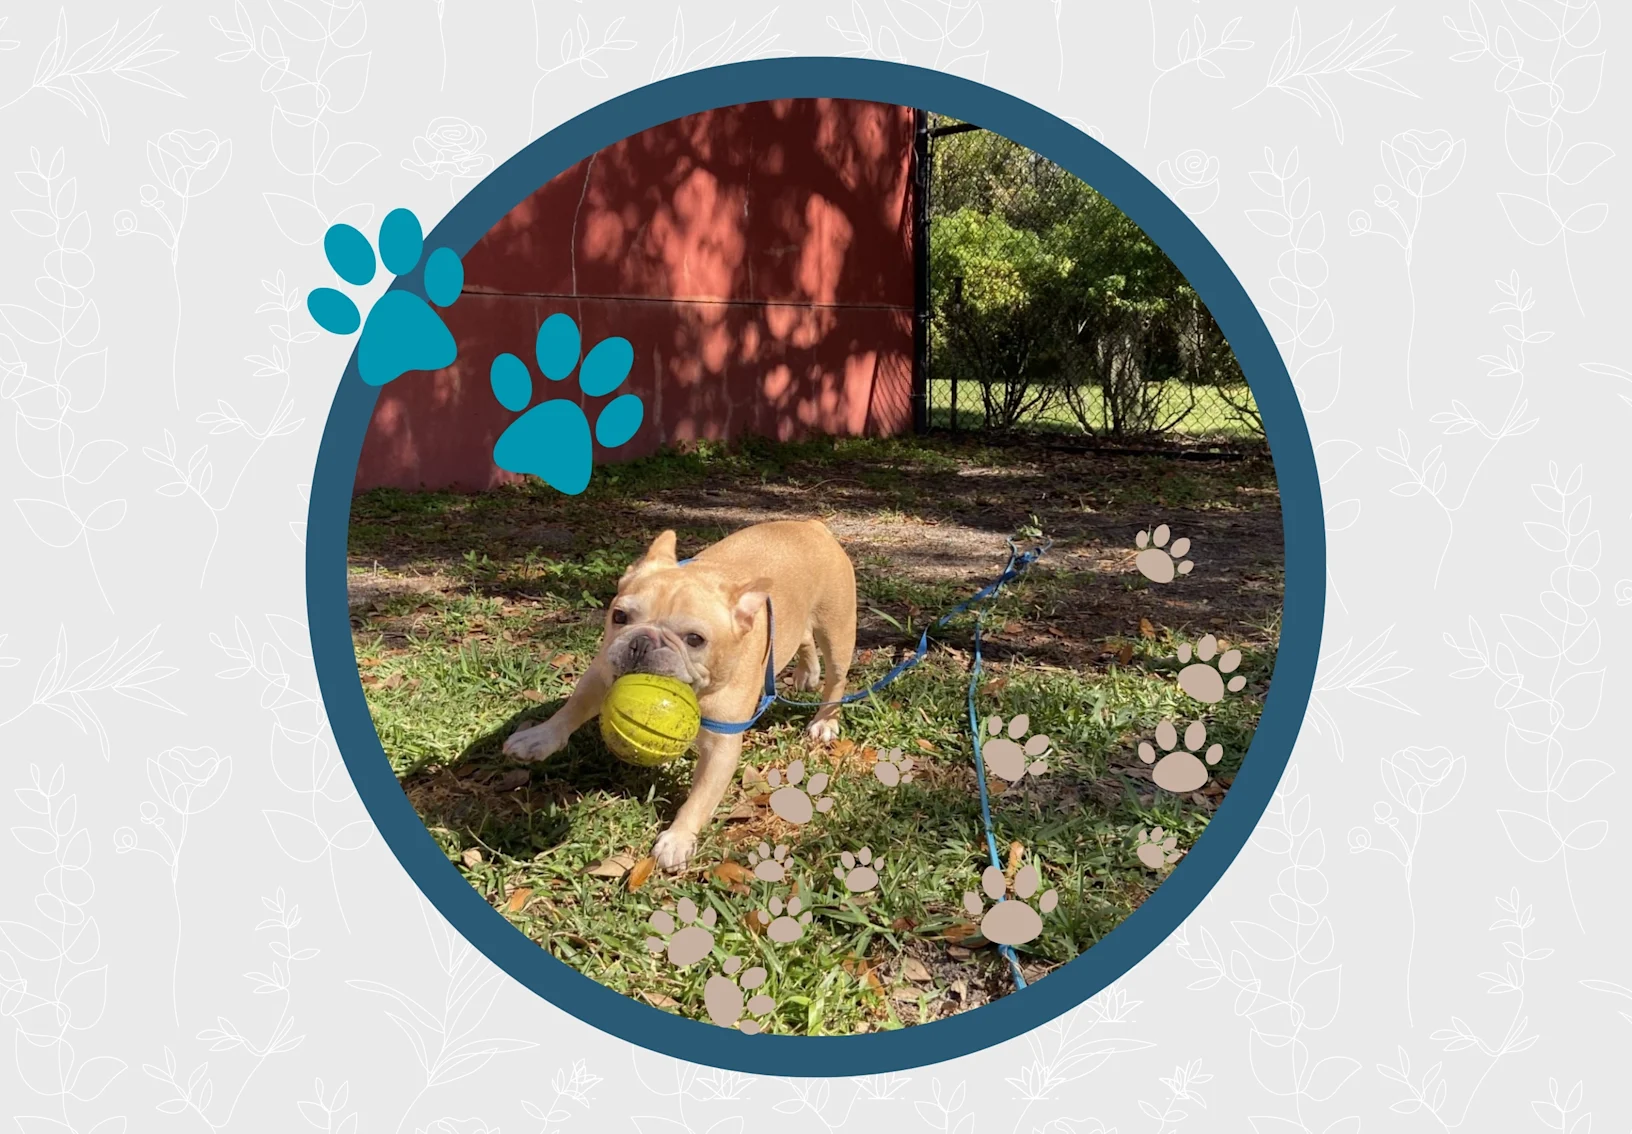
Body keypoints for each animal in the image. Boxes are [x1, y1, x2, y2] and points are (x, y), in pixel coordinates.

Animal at [499, 518, 861, 874]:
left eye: (695, 639)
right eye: (619, 616)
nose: (642, 643)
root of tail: (811, 525)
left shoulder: (722, 747)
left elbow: (700, 798)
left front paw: (677, 839)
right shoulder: (601, 671)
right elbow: (573, 707)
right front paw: (538, 737)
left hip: (837, 629)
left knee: (836, 678)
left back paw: (824, 721)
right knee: (803, 637)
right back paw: (806, 673)